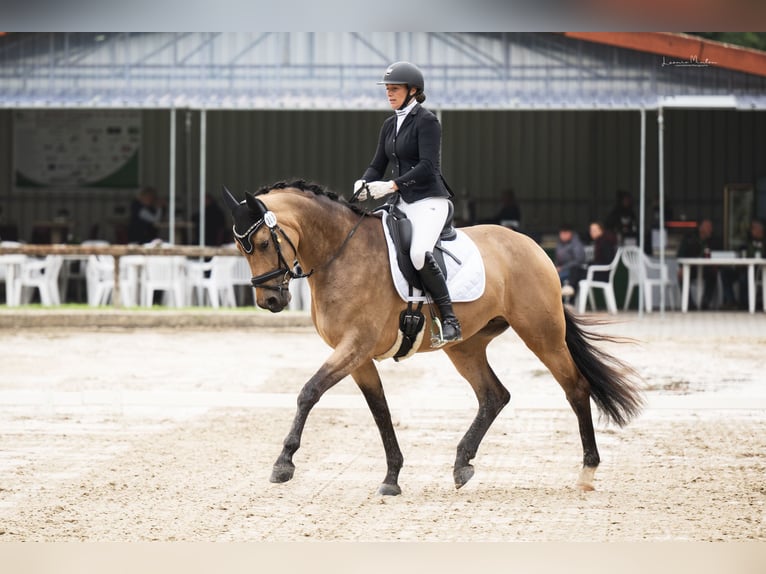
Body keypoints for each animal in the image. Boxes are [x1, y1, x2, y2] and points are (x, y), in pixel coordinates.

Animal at [224, 182, 648, 498]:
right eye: (242, 248)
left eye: (264, 243)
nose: (270, 301)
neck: (339, 254)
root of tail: (533, 246)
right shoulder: (357, 356)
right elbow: (380, 411)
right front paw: (392, 478)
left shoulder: (355, 346)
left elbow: (309, 392)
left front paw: (283, 464)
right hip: (465, 346)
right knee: (494, 395)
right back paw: (462, 464)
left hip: (541, 334)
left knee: (575, 388)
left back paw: (587, 471)